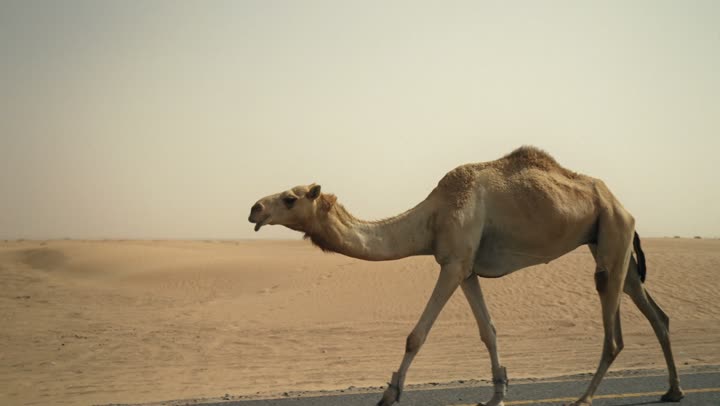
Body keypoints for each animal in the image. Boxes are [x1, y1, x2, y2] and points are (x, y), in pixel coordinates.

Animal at [248, 146, 683, 406]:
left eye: (290, 198)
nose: (254, 208)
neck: (432, 217)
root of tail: (622, 205)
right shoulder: (468, 268)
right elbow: (487, 330)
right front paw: (497, 393)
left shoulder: (453, 263)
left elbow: (416, 335)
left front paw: (389, 394)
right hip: (612, 240)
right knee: (655, 313)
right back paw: (673, 390)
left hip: (611, 234)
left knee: (614, 332)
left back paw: (584, 399)